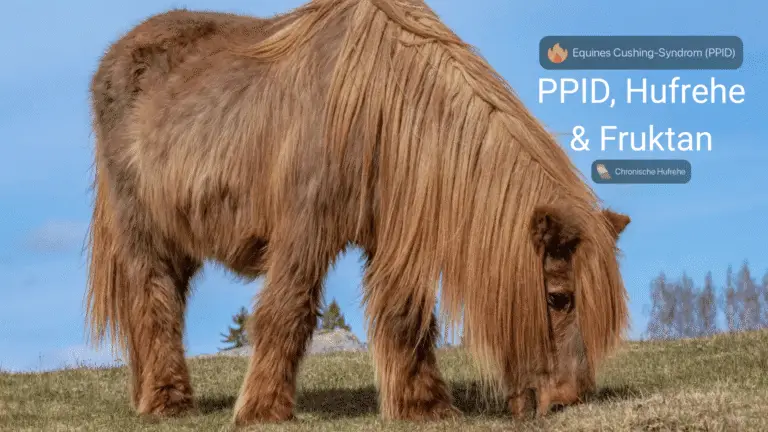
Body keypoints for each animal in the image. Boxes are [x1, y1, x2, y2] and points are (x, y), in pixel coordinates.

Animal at [85, 0, 631, 425]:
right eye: (559, 298)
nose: (569, 400)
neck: (386, 111)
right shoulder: (306, 228)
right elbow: (288, 311)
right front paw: (263, 410)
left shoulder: (393, 237)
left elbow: (406, 316)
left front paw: (423, 408)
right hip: (143, 232)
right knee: (154, 305)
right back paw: (168, 402)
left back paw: (148, 395)